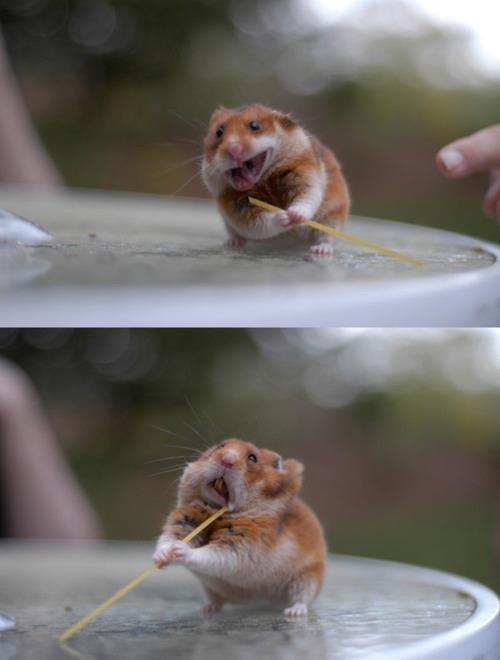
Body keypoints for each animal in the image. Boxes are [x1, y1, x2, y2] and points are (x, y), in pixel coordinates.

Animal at [153, 438, 327, 617]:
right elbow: (168, 539)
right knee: (217, 600)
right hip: (209, 588)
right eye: (221, 446)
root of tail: (263, 602)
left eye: (253, 458)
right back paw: (207, 609)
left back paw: (293, 612)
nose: (227, 460)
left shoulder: (241, 546)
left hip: (308, 577)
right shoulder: (184, 522)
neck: (216, 511)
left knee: (302, 598)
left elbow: (209, 554)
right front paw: (162, 556)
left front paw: (180, 549)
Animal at [202, 104, 350, 255]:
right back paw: (232, 243)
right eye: (219, 132)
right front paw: (284, 217)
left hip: (333, 216)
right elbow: (261, 222)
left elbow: (306, 198)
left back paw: (320, 250)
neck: (263, 180)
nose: (234, 149)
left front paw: (294, 215)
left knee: (326, 237)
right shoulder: (238, 210)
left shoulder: (305, 175)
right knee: (238, 236)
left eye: (254, 125)